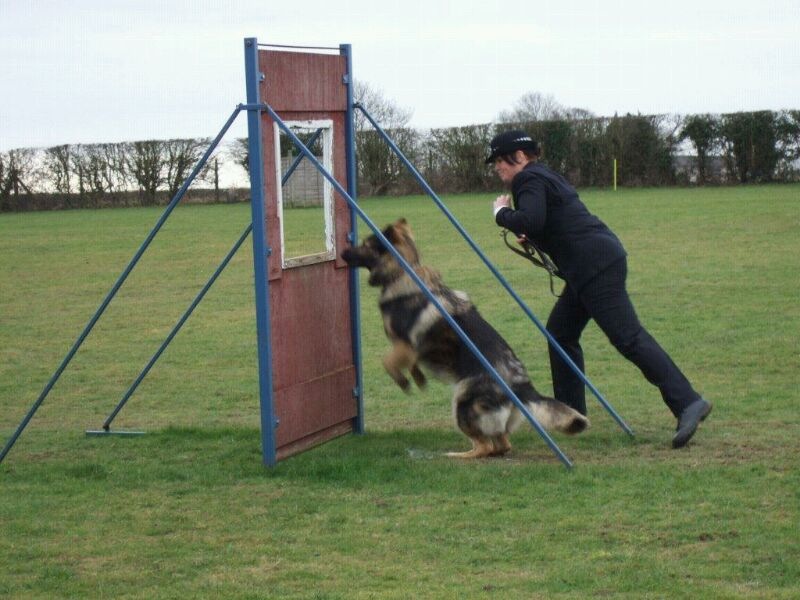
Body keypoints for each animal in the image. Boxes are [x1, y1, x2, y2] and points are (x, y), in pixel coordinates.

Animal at [338, 220, 588, 460]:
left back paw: (457, 455)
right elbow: (410, 365)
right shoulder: (410, 350)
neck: (402, 273)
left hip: (461, 402)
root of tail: (521, 385)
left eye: (365, 245)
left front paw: (404, 382)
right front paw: (419, 379)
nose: (342, 252)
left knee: (484, 446)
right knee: (502, 445)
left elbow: (387, 362)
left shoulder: (405, 345)